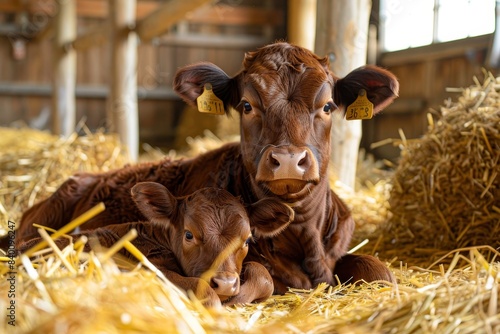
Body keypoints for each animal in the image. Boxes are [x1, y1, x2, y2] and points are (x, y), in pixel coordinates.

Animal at [13, 43, 400, 294]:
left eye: (328, 106)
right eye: (247, 105)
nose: (289, 159)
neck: (304, 237)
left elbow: (380, 271)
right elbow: (264, 275)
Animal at [18, 183, 292, 308]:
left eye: (247, 239)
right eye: (189, 235)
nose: (225, 283)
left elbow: (263, 275)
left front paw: (240, 295)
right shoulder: (154, 271)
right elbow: (205, 291)